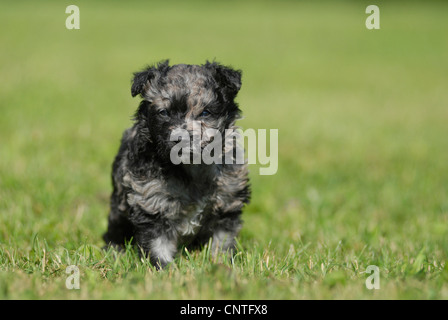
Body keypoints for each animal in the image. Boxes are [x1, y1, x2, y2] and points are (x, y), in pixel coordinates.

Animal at [103, 60, 250, 270]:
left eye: (205, 113)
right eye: (164, 113)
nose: (180, 138)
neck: (191, 166)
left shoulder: (227, 199)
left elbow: (222, 240)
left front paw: (220, 263)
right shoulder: (151, 199)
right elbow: (158, 243)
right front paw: (164, 269)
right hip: (120, 205)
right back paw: (115, 250)